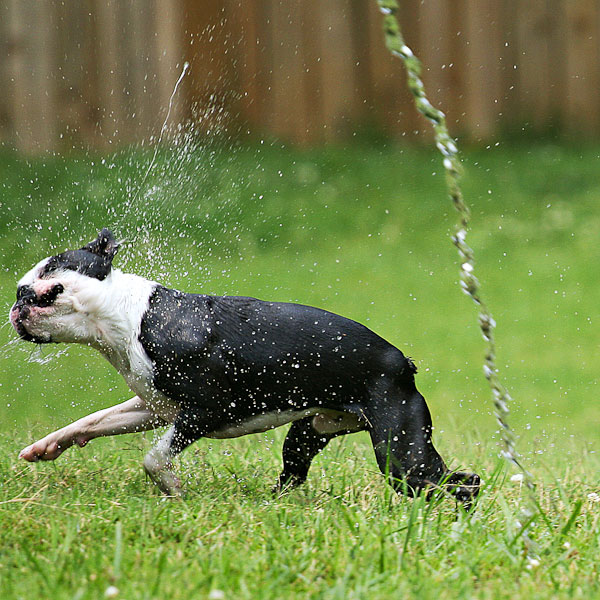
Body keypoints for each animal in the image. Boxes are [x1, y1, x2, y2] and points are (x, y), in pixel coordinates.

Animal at [9, 230, 480, 502]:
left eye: (50, 275)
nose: (15, 300)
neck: (130, 317)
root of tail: (403, 363)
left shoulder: (206, 411)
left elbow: (154, 457)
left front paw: (173, 489)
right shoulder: (155, 407)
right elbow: (93, 420)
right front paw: (48, 446)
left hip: (401, 456)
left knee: (460, 483)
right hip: (308, 433)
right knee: (294, 473)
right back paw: (274, 504)